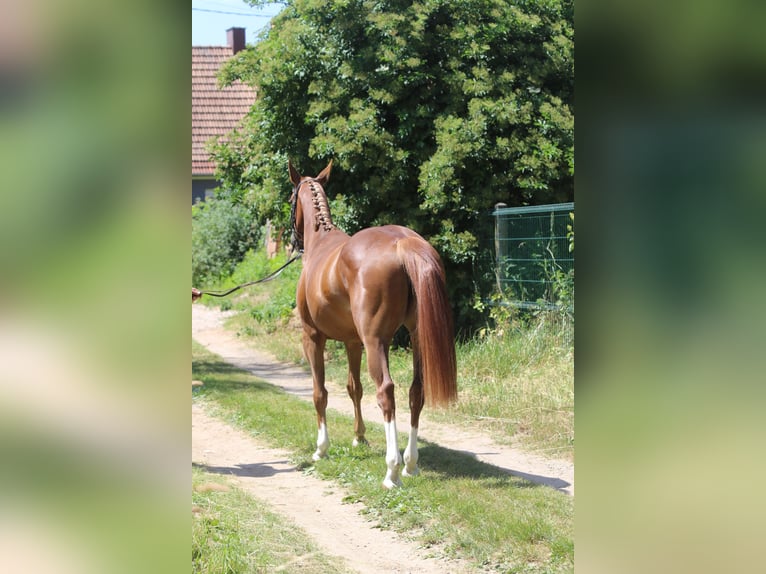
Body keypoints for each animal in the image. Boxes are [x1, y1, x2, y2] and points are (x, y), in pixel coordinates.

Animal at [288, 160, 457, 488]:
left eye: (290, 199)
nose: (293, 241)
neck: (321, 244)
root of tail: (402, 242)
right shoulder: (353, 341)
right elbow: (354, 388)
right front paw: (360, 437)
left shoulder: (312, 337)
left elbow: (320, 392)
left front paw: (321, 448)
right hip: (415, 337)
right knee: (416, 391)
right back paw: (410, 464)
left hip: (375, 342)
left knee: (386, 392)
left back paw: (392, 470)